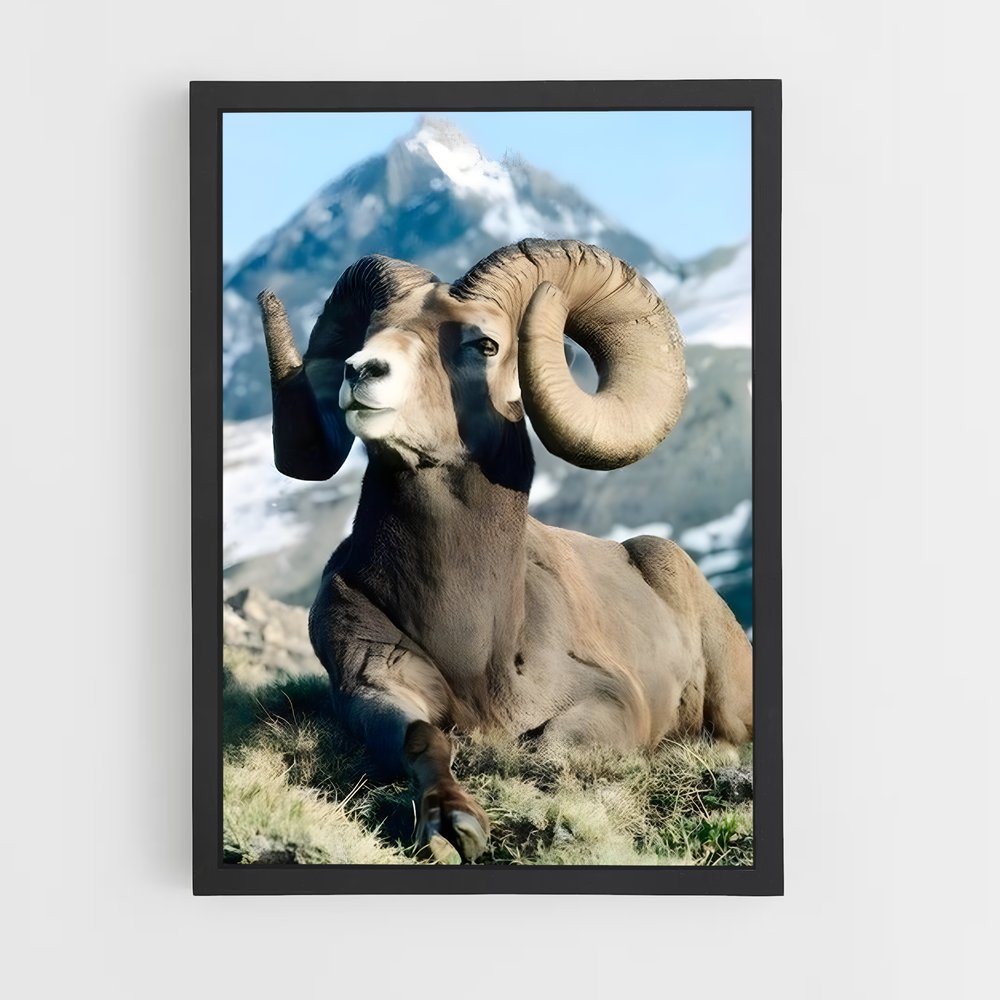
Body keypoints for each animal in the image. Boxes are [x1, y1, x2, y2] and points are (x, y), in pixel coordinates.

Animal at [258, 239, 752, 862]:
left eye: (485, 345)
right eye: (371, 332)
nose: (361, 369)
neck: (475, 643)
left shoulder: (610, 702)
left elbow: (546, 748)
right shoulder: (373, 687)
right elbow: (423, 738)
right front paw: (451, 825)